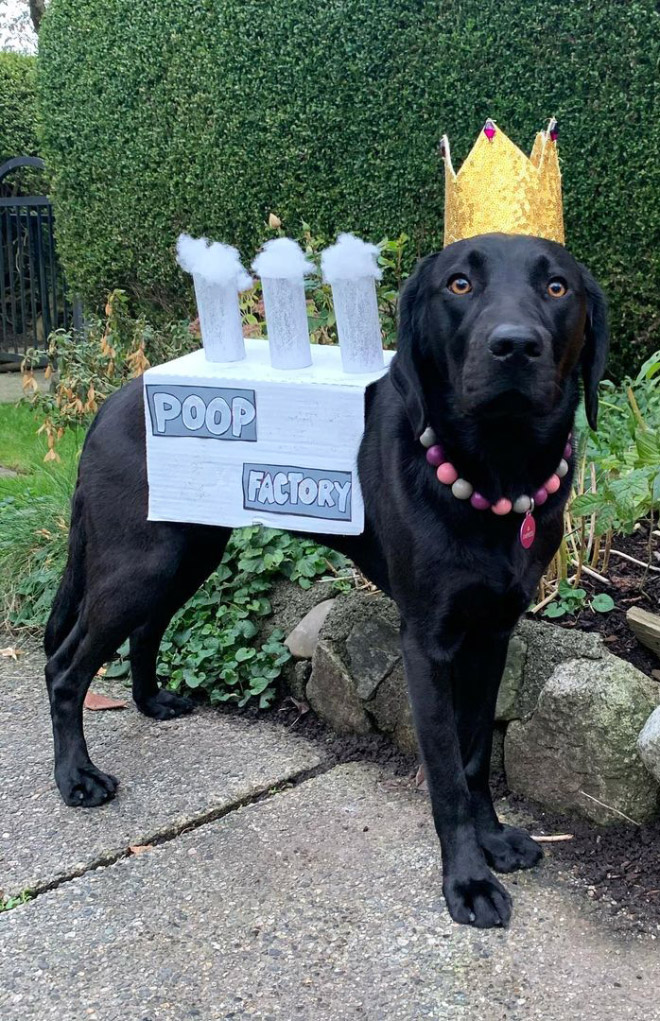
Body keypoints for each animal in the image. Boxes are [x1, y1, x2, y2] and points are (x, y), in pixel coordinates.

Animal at [43, 231, 608, 927]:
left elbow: (477, 755)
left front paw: (494, 839)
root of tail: (110, 402)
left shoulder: (493, 634)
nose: (515, 345)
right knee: (65, 666)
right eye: (459, 284)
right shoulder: (426, 643)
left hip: (186, 550)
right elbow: (447, 772)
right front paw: (468, 880)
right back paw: (76, 778)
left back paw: (151, 703)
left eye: (557, 287)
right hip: (138, 563)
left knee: (145, 631)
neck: (499, 470)